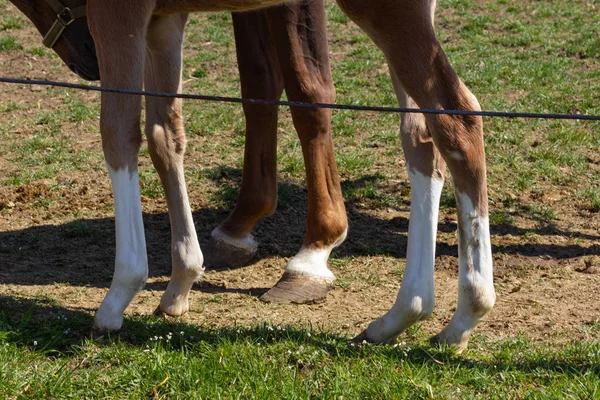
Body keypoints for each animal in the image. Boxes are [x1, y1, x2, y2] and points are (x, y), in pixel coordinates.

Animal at [10, 0, 496, 352]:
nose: (88, 57)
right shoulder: (164, 20)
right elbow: (165, 134)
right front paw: (181, 281)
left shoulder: (120, 12)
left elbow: (118, 131)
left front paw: (118, 296)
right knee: (421, 139)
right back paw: (401, 316)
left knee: (457, 120)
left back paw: (465, 314)